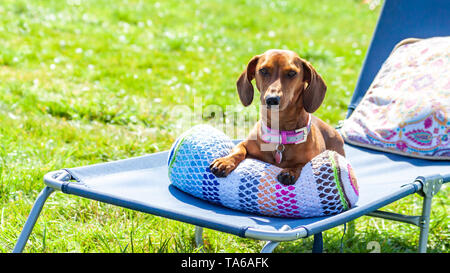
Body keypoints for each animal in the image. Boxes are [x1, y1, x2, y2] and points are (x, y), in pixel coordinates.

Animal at [210, 49, 344, 185]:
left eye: (292, 73)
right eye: (263, 70)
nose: (272, 99)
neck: (280, 135)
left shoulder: (311, 158)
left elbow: (301, 163)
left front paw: (289, 171)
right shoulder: (245, 145)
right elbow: (239, 150)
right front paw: (226, 161)